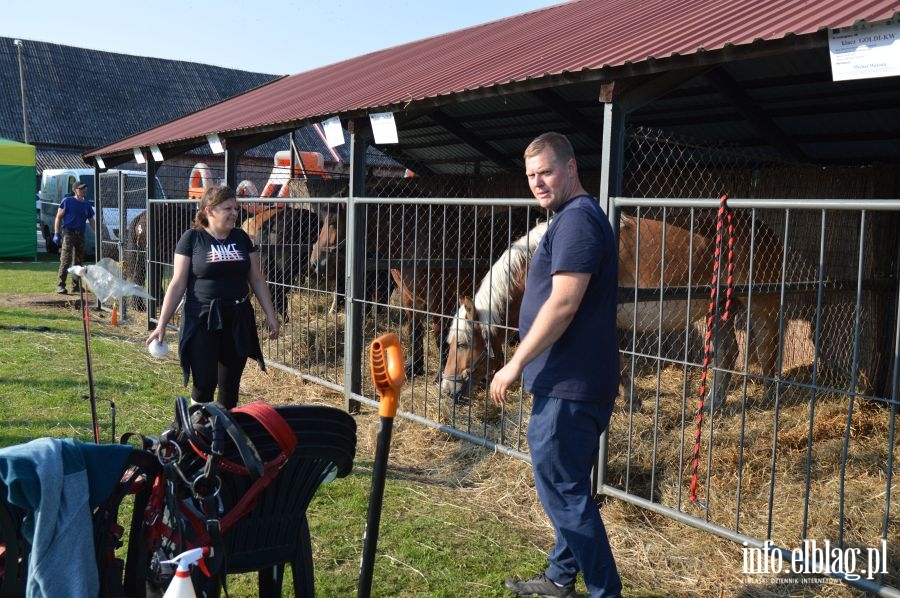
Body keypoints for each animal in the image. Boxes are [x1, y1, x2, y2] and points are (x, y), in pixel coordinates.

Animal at [440, 213, 784, 410]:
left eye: (463, 344)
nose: (446, 388)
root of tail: (767, 231)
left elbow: (617, 363)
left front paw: (632, 402)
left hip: (761, 304)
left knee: (767, 348)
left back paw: (770, 398)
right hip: (721, 308)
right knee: (728, 352)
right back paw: (713, 403)